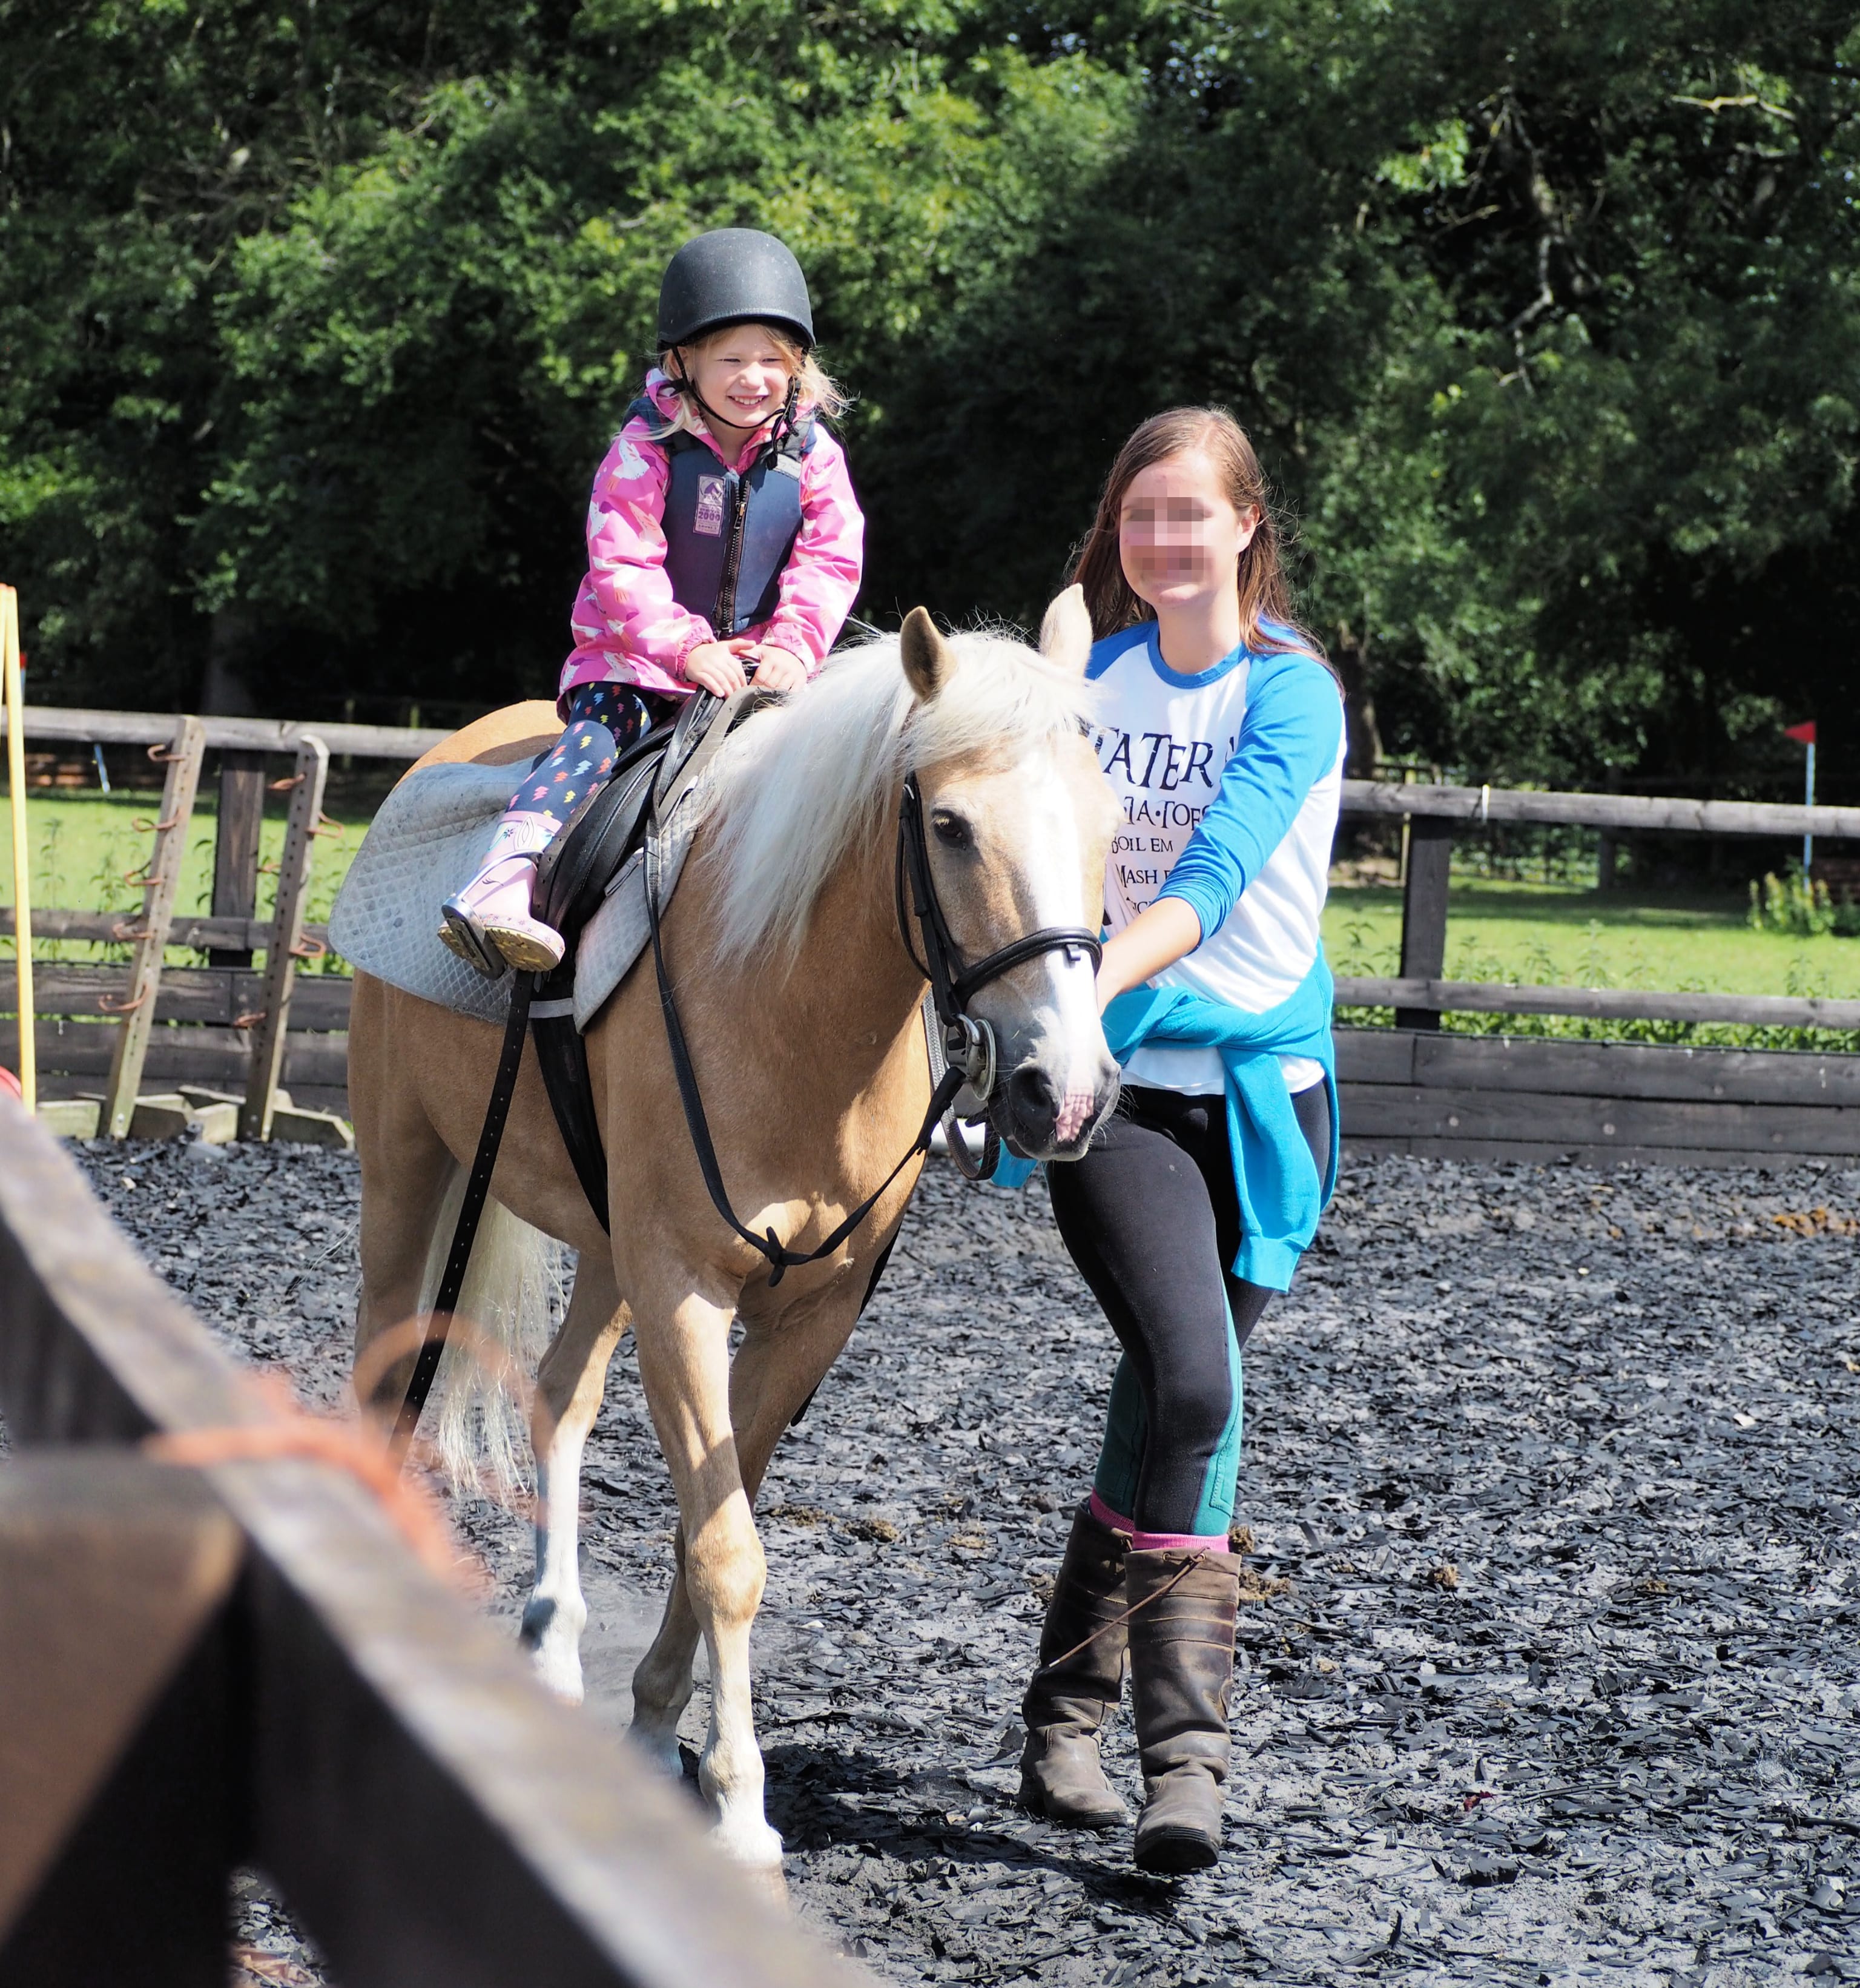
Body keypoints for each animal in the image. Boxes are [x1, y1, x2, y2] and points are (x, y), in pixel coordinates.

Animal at [349, 588, 1121, 1877]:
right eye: (951, 825)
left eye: (1109, 818)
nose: (1060, 1090)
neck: (790, 1005)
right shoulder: (685, 1291)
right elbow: (728, 1553)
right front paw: (744, 1804)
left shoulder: (805, 1315)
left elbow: (711, 1520)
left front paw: (659, 1729)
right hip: (407, 1163)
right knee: (382, 1370)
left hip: (605, 1243)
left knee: (557, 1394)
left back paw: (553, 1636)